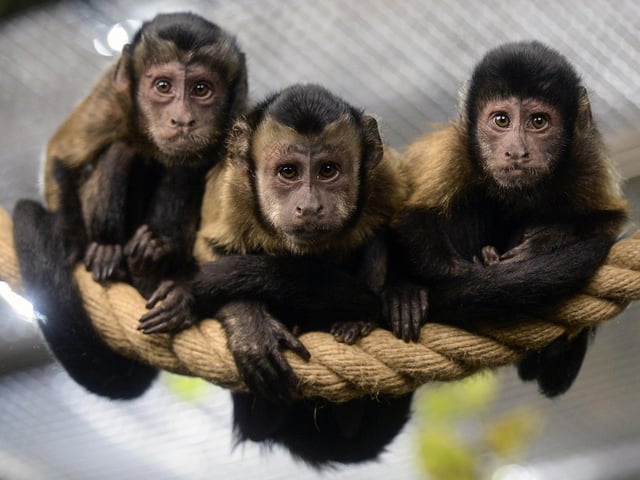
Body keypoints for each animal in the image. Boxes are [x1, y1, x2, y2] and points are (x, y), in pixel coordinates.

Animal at [12, 12, 248, 399]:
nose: (182, 119)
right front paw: (70, 242)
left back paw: (150, 264)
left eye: (201, 89)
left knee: (183, 167)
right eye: (163, 86)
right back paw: (108, 252)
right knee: (121, 151)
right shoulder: (111, 97)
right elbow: (62, 157)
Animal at [140, 84, 414, 466]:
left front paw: (403, 294)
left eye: (328, 170)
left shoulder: (385, 174)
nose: (310, 206)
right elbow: (213, 250)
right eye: (288, 172)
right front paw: (249, 326)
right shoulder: (233, 189)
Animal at [389, 41, 629, 397]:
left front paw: (544, 242)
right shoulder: (454, 150)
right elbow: (411, 217)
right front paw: (468, 275)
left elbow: (610, 221)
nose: (516, 151)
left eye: (539, 121)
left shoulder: (586, 158)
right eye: (501, 120)